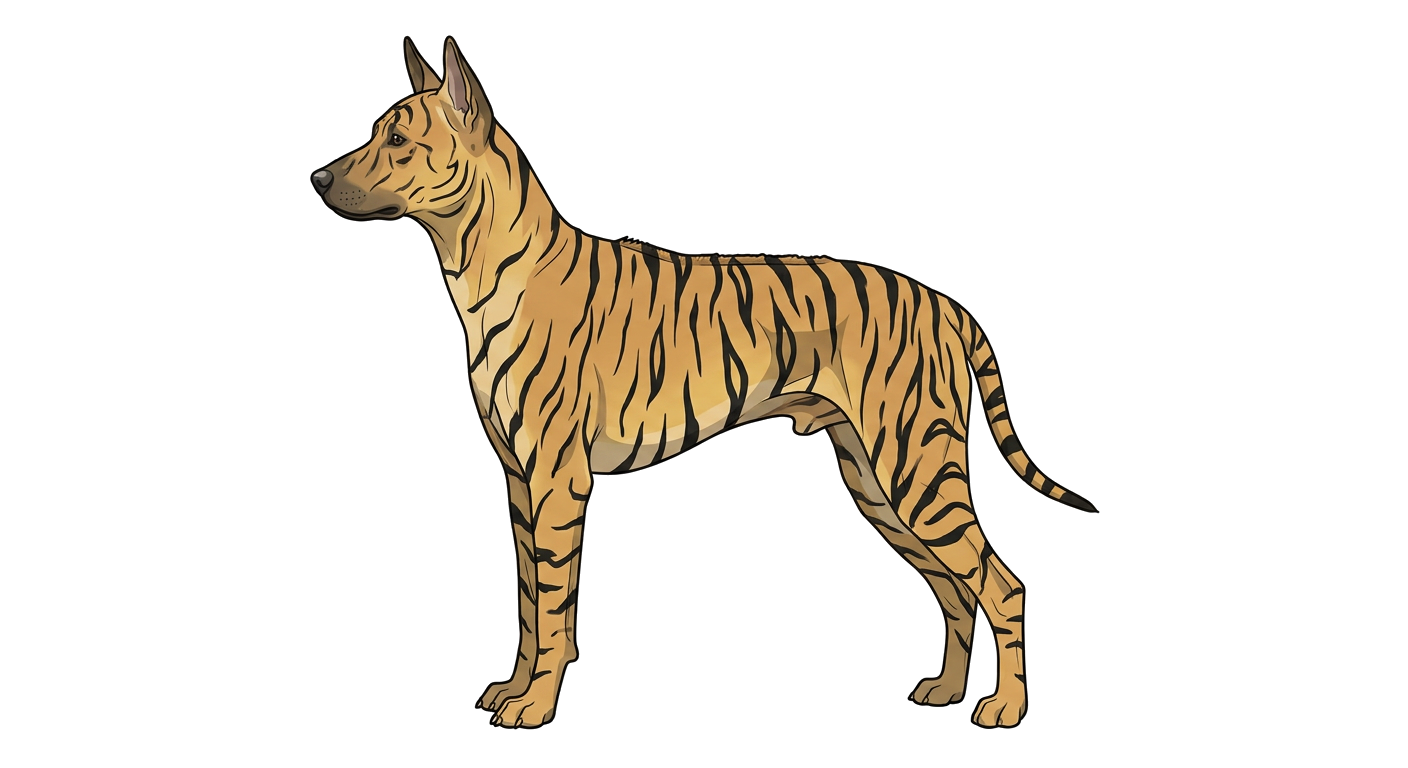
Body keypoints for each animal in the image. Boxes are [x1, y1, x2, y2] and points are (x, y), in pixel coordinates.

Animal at [310, 36, 1098, 730]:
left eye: (398, 140)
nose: (316, 177)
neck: (477, 265)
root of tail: (944, 300)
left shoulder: (557, 480)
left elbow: (555, 603)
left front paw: (535, 707)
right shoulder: (516, 478)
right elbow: (528, 603)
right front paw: (513, 686)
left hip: (917, 470)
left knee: (1002, 585)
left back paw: (1006, 709)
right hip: (877, 482)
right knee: (954, 589)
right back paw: (945, 691)